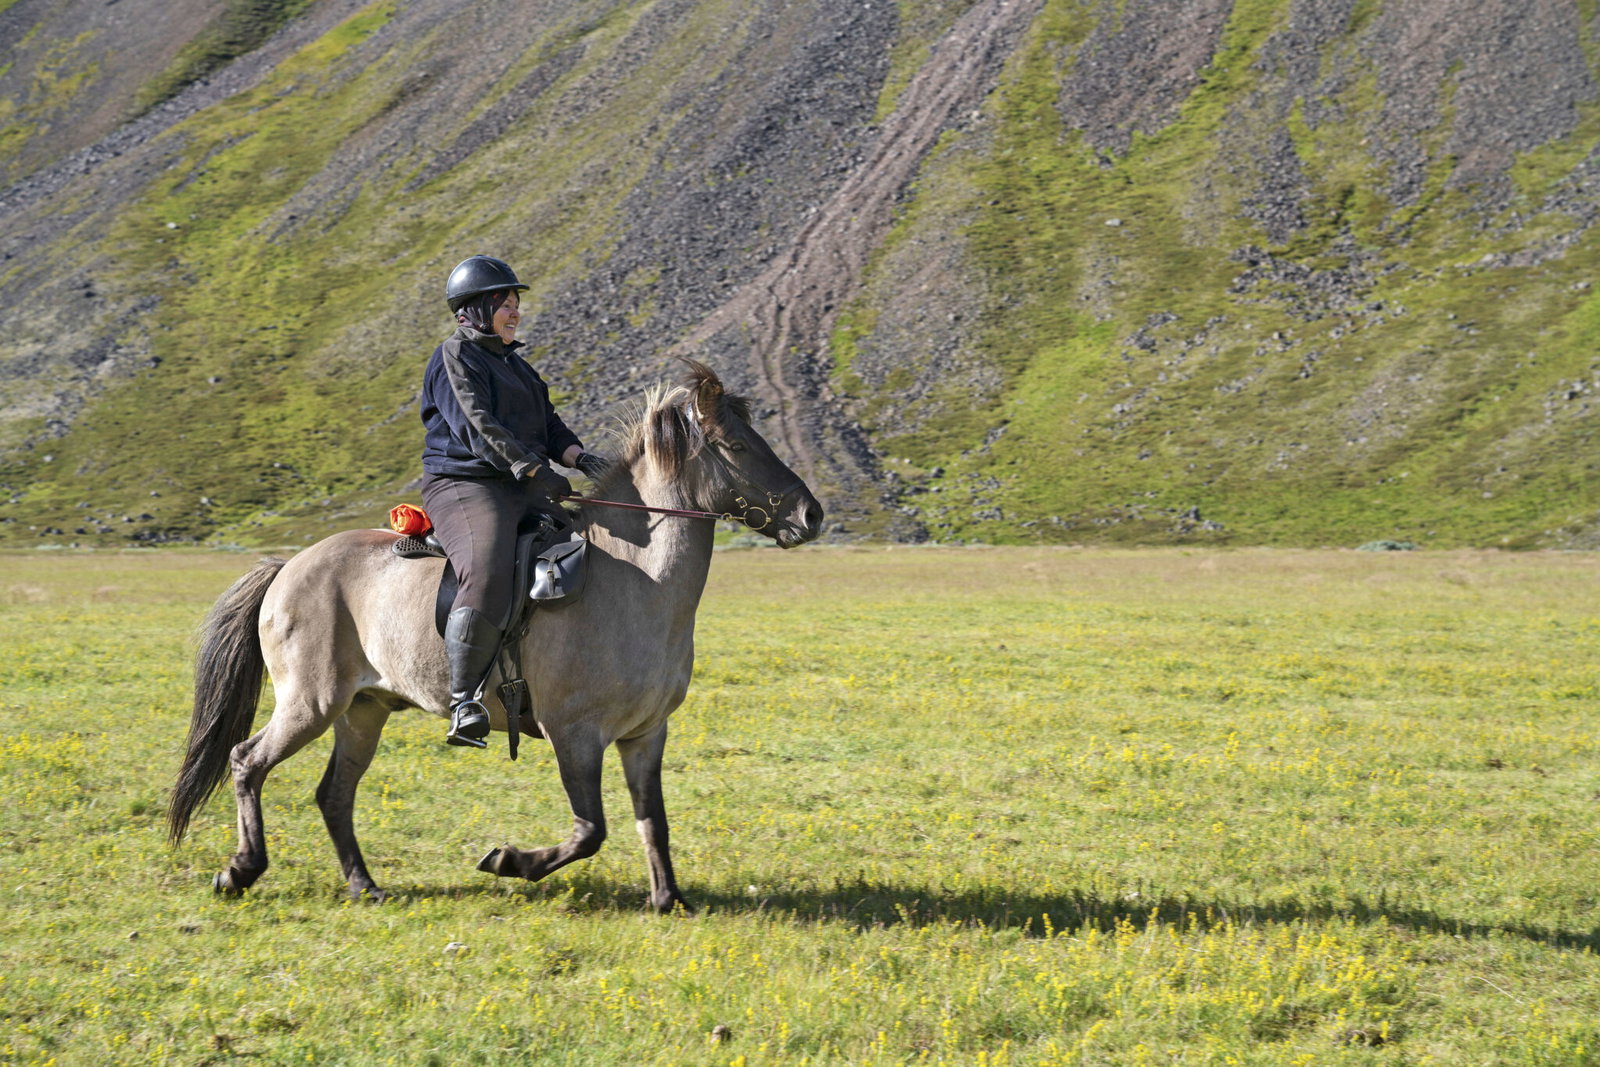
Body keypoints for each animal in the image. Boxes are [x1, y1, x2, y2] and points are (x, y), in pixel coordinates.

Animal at [166, 360, 824, 912]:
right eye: (736, 445)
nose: (810, 515)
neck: (632, 580)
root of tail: (289, 567)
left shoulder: (644, 736)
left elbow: (651, 821)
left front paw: (669, 900)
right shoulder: (574, 735)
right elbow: (590, 830)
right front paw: (509, 861)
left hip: (363, 709)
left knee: (333, 794)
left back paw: (364, 885)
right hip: (311, 703)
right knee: (247, 761)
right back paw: (240, 871)